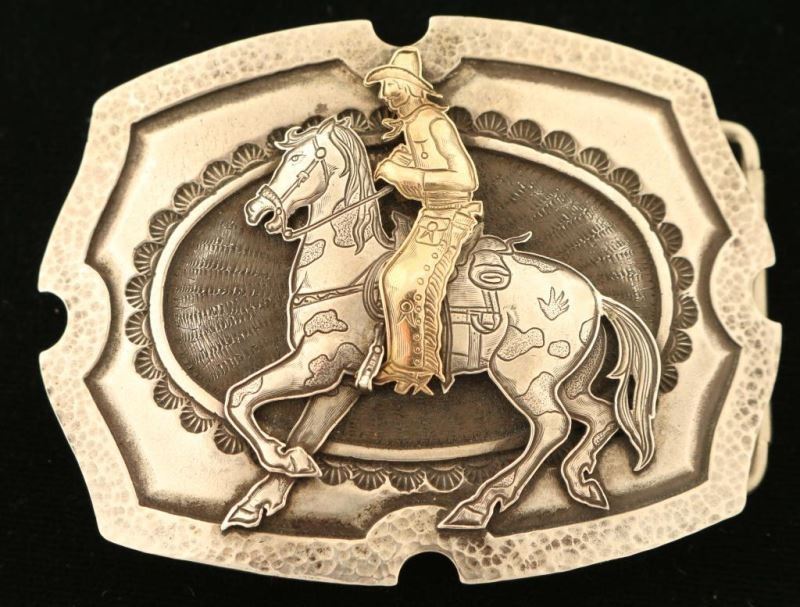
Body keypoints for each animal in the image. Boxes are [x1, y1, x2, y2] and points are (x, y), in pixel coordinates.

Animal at [220, 116, 661, 531]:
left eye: (298, 159)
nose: (257, 211)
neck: (350, 268)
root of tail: (598, 297)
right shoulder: (339, 383)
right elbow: (306, 435)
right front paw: (264, 494)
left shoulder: (318, 363)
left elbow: (240, 397)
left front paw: (279, 462)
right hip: (566, 382)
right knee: (600, 415)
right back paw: (579, 481)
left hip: (524, 375)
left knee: (553, 426)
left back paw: (477, 506)